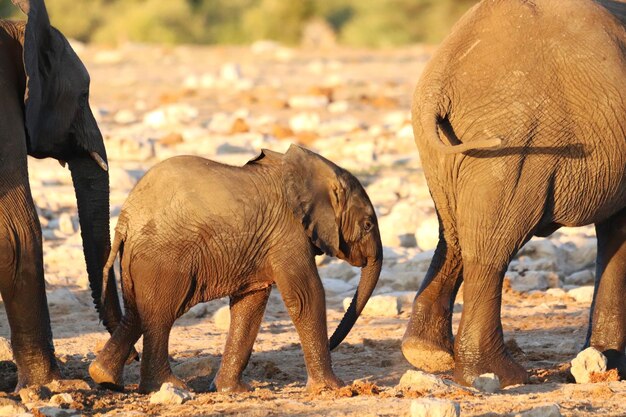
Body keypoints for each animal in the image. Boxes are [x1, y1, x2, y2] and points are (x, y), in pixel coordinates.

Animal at [88, 145, 380, 392]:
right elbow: (305, 297)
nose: (333, 343)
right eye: (367, 225)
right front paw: (334, 389)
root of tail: (126, 219)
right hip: (164, 257)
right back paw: (168, 386)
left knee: (138, 311)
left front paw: (232, 391)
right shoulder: (288, 233)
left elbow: (249, 305)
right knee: (160, 315)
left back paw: (103, 377)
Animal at [400, 0, 624, 386]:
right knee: (491, 248)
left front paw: (609, 361)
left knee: (454, 235)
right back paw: (499, 376)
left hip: (447, 150)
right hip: (518, 142)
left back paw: (426, 354)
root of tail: (440, 84)